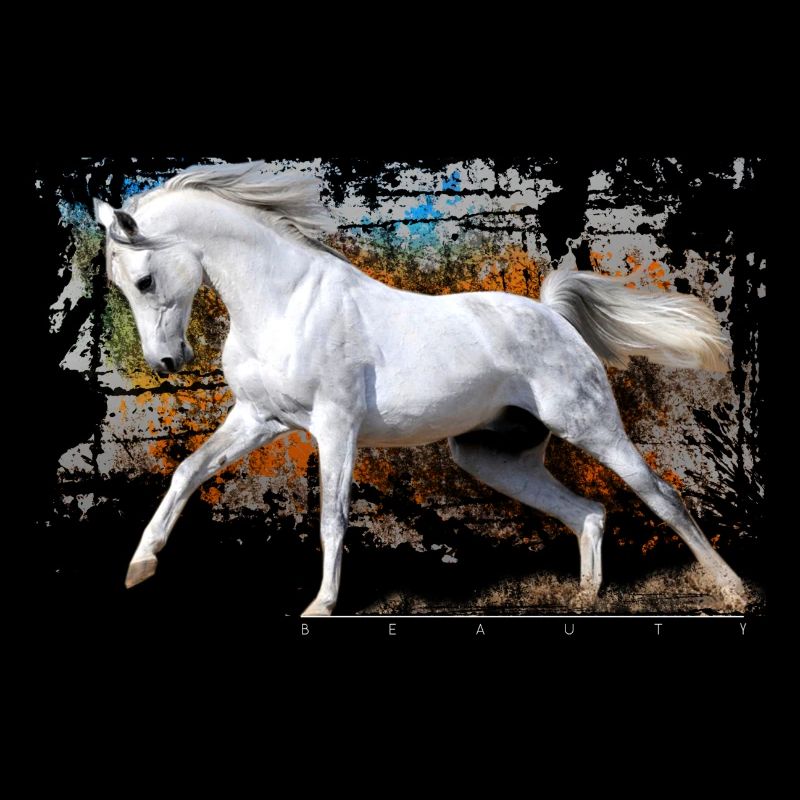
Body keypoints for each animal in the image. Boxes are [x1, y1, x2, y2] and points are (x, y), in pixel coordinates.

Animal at [93, 160, 746, 615]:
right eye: (121, 286)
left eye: (144, 280)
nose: (166, 361)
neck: (285, 302)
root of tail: (553, 316)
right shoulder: (258, 418)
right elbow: (188, 471)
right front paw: (139, 566)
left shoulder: (335, 425)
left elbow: (332, 516)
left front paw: (321, 605)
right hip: (493, 456)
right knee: (588, 513)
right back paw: (586, 600)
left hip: (590, 425)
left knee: (661, 496)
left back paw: (732, 590)